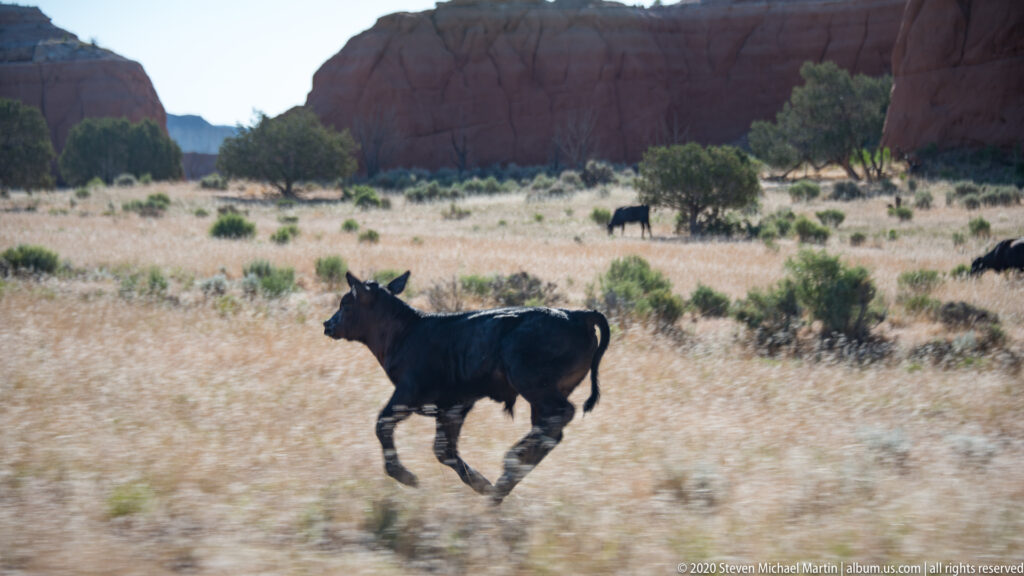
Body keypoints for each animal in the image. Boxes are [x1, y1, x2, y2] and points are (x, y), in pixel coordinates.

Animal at [323, 271, 610, 503]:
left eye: (346, 304)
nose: (328, 325)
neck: (405, 332)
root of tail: (578, 315)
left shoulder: (408, 393)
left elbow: (382, 424)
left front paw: (405, 475)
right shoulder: (454, 406)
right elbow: (444, 450)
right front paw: (481, 484)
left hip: (534, 386)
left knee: (560, 415)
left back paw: (512, 460)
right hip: (542, 396)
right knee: (551, 430)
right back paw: (502, 485)